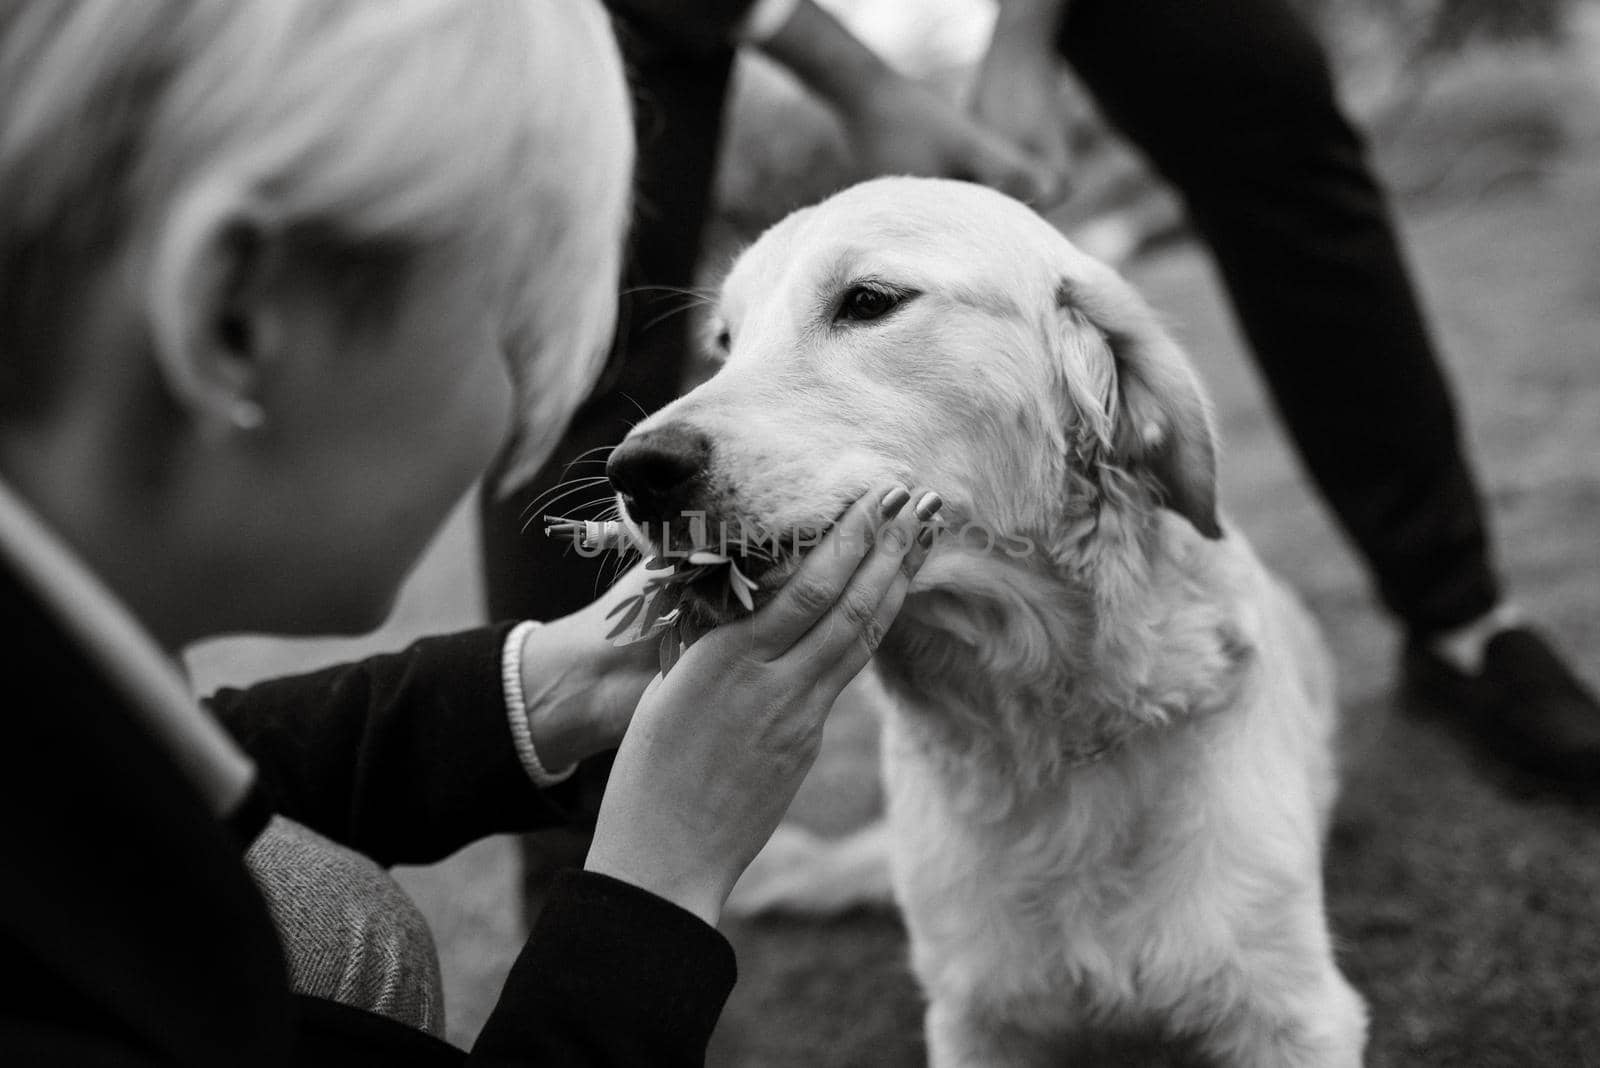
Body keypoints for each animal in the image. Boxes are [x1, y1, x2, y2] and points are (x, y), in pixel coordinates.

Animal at [604, 177, 1369, 1068]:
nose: (636, 471)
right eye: (725, 342)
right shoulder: (975, 1020)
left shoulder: (1293, 1012)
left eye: (869, 301)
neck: (1045, 738)